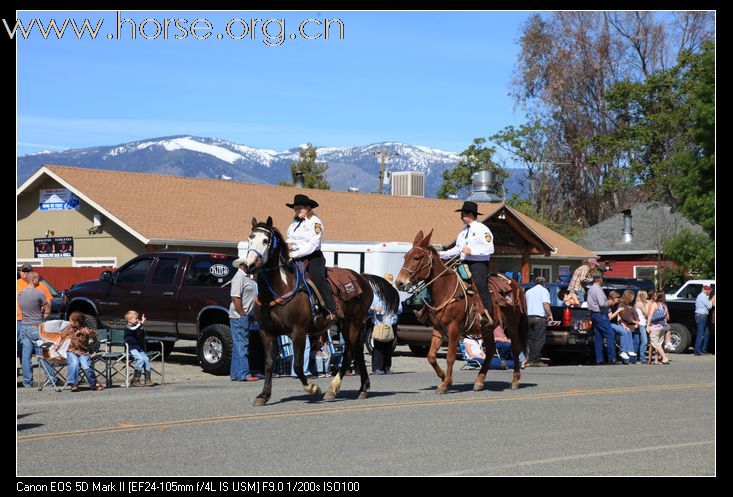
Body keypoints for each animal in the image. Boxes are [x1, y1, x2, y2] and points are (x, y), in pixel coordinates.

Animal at [243, 216, 374, 404]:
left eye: (265, 240)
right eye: (250, 238)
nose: (250, 265)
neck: (280, 287)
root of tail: (362, 278)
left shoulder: (298, 332)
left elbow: (298, 366)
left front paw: (313, 388)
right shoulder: (266, 332)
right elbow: (268, 364)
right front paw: (263, 395)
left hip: (354, 323)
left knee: (349, 353)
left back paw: (332, 389)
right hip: (345, 324)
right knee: (357, 352)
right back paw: (362, 389)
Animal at [394, 229, 528, 392]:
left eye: (417, 257)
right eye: (405, 257)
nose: (400, 283)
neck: (445, 289)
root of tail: (515, 284)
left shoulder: (454, 329)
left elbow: (450, 357)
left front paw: (445, 384)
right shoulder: (438, 329)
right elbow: (431, 356)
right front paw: (444, 377)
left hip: (512, 325)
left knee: (515, 349)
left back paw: (514, 381)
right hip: (487, 328)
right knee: (490, 351)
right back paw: (479, 381)